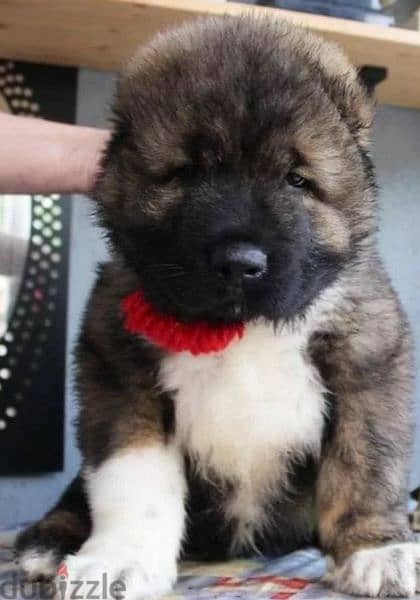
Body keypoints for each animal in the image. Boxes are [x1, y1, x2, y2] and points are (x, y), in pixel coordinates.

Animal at [14, 15, 418, 600]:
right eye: (187, 172)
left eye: (297, 179)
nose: (240, 263)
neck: (243, 331)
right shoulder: (119, 375)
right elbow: (131, 481)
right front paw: (118, 560)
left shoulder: (367, 365)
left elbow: (365, 465)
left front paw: (377, 550)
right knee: (75, 494)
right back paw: (46, 544)